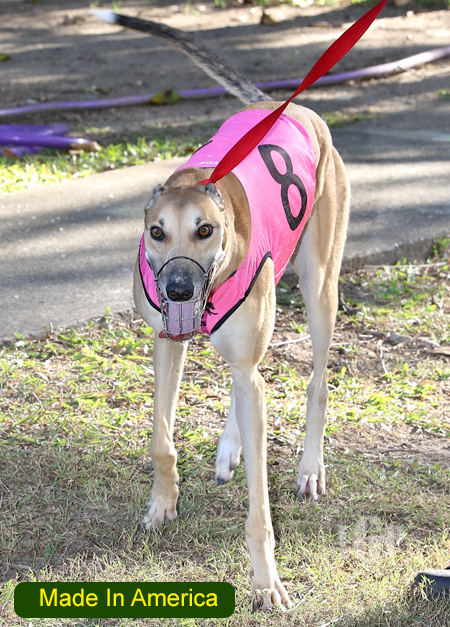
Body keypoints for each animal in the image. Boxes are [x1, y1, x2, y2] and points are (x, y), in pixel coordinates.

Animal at [95, 10, 350, 610]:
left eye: (205, 230)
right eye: (156, 232)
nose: (178, 290)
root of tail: (288, 105)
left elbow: (261, 510)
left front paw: (266, 581)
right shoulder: (167, 345)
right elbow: (162, 440)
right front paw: (162, 505)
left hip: (319, 287)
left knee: (314, 382)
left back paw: (308, 468)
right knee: (248, 378)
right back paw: (232, 445)